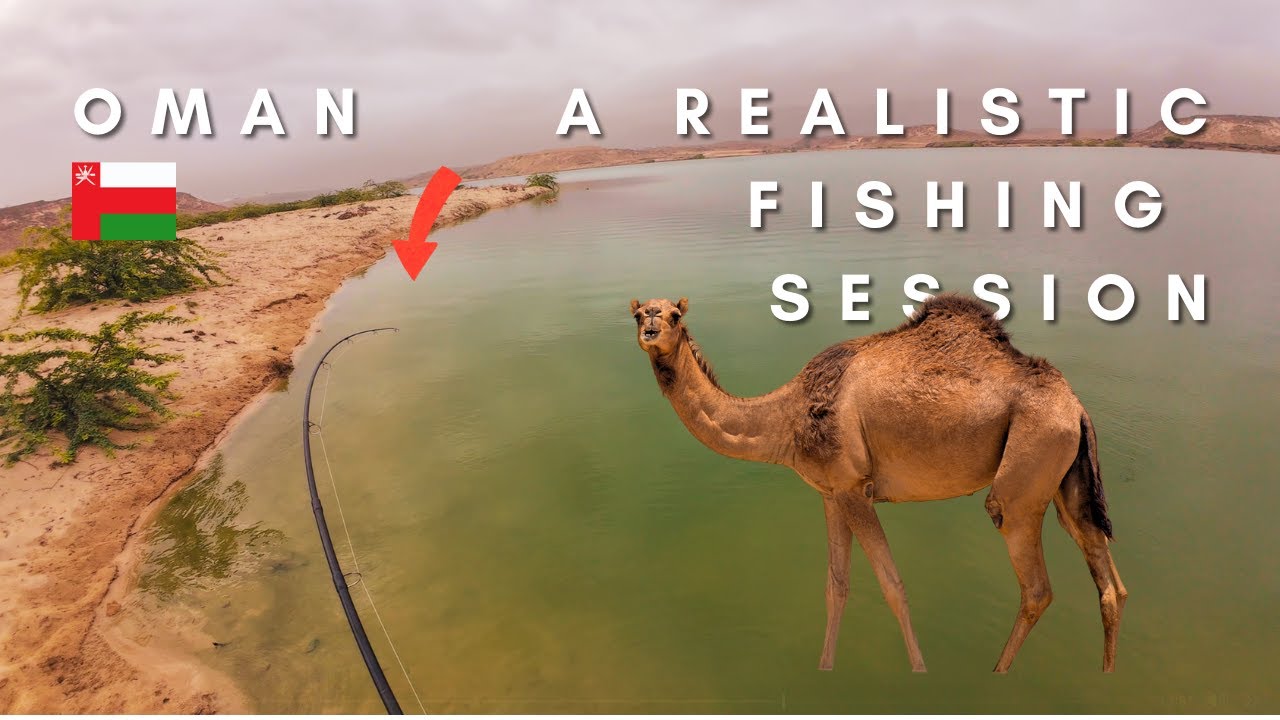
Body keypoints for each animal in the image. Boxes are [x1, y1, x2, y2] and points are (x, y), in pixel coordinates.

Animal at [630, 294, 1126, 673]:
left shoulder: (855, 489)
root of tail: (1076, 407)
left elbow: (892, 586)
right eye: (638, 314)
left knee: (1035, 583)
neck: (786, 418)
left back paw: (996, 675)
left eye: (673, 315)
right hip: (1065, 478)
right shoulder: (830, 493)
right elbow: (836, 587)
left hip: (1026, 470)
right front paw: (824, 670)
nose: (651, 327)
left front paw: (920, 671)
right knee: (1106, 573)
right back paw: (1106, 673)